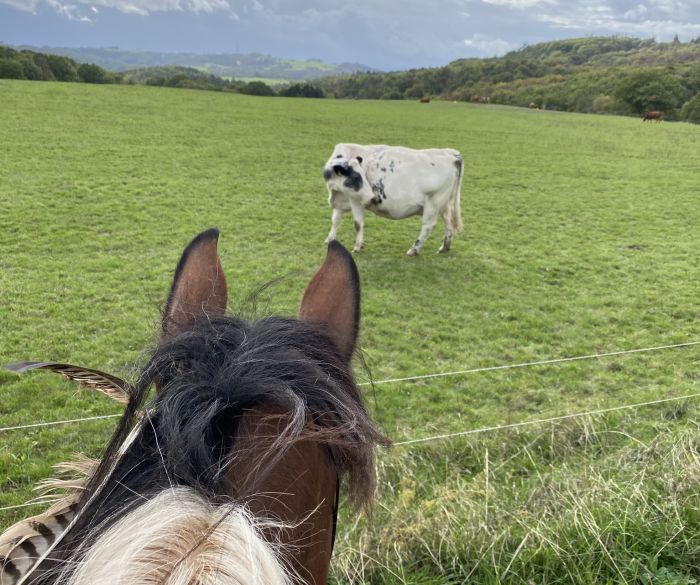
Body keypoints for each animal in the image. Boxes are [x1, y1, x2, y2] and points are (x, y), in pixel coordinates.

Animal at [322, 144, 464, 256]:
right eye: (356, 177)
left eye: (362, 175)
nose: (372, 197)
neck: (335, 192)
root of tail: (452, 154)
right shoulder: (341, 200)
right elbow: (335, 220)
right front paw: (330, 239)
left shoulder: (356, 200)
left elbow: (358, 224)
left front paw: (358, 247)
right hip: (445, 203)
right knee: (448, 223)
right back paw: (444, 247)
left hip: (433, 203)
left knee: (428, 226)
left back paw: (414, 249)